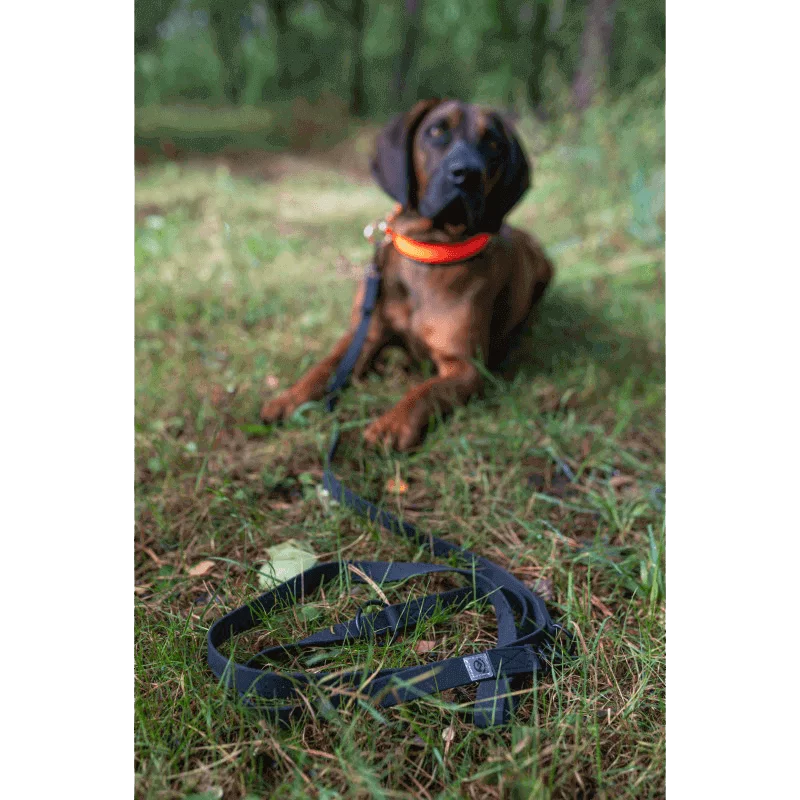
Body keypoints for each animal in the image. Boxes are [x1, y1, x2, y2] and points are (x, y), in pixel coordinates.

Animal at [260, 98, 554, 451]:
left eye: (493, 143)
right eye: (437, 131)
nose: (467, 174)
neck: (429, 250)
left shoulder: (466, 367)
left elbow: (426, 390)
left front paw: (393, 423)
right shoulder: (365, 333)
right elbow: (324, 368)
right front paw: (289, 398)